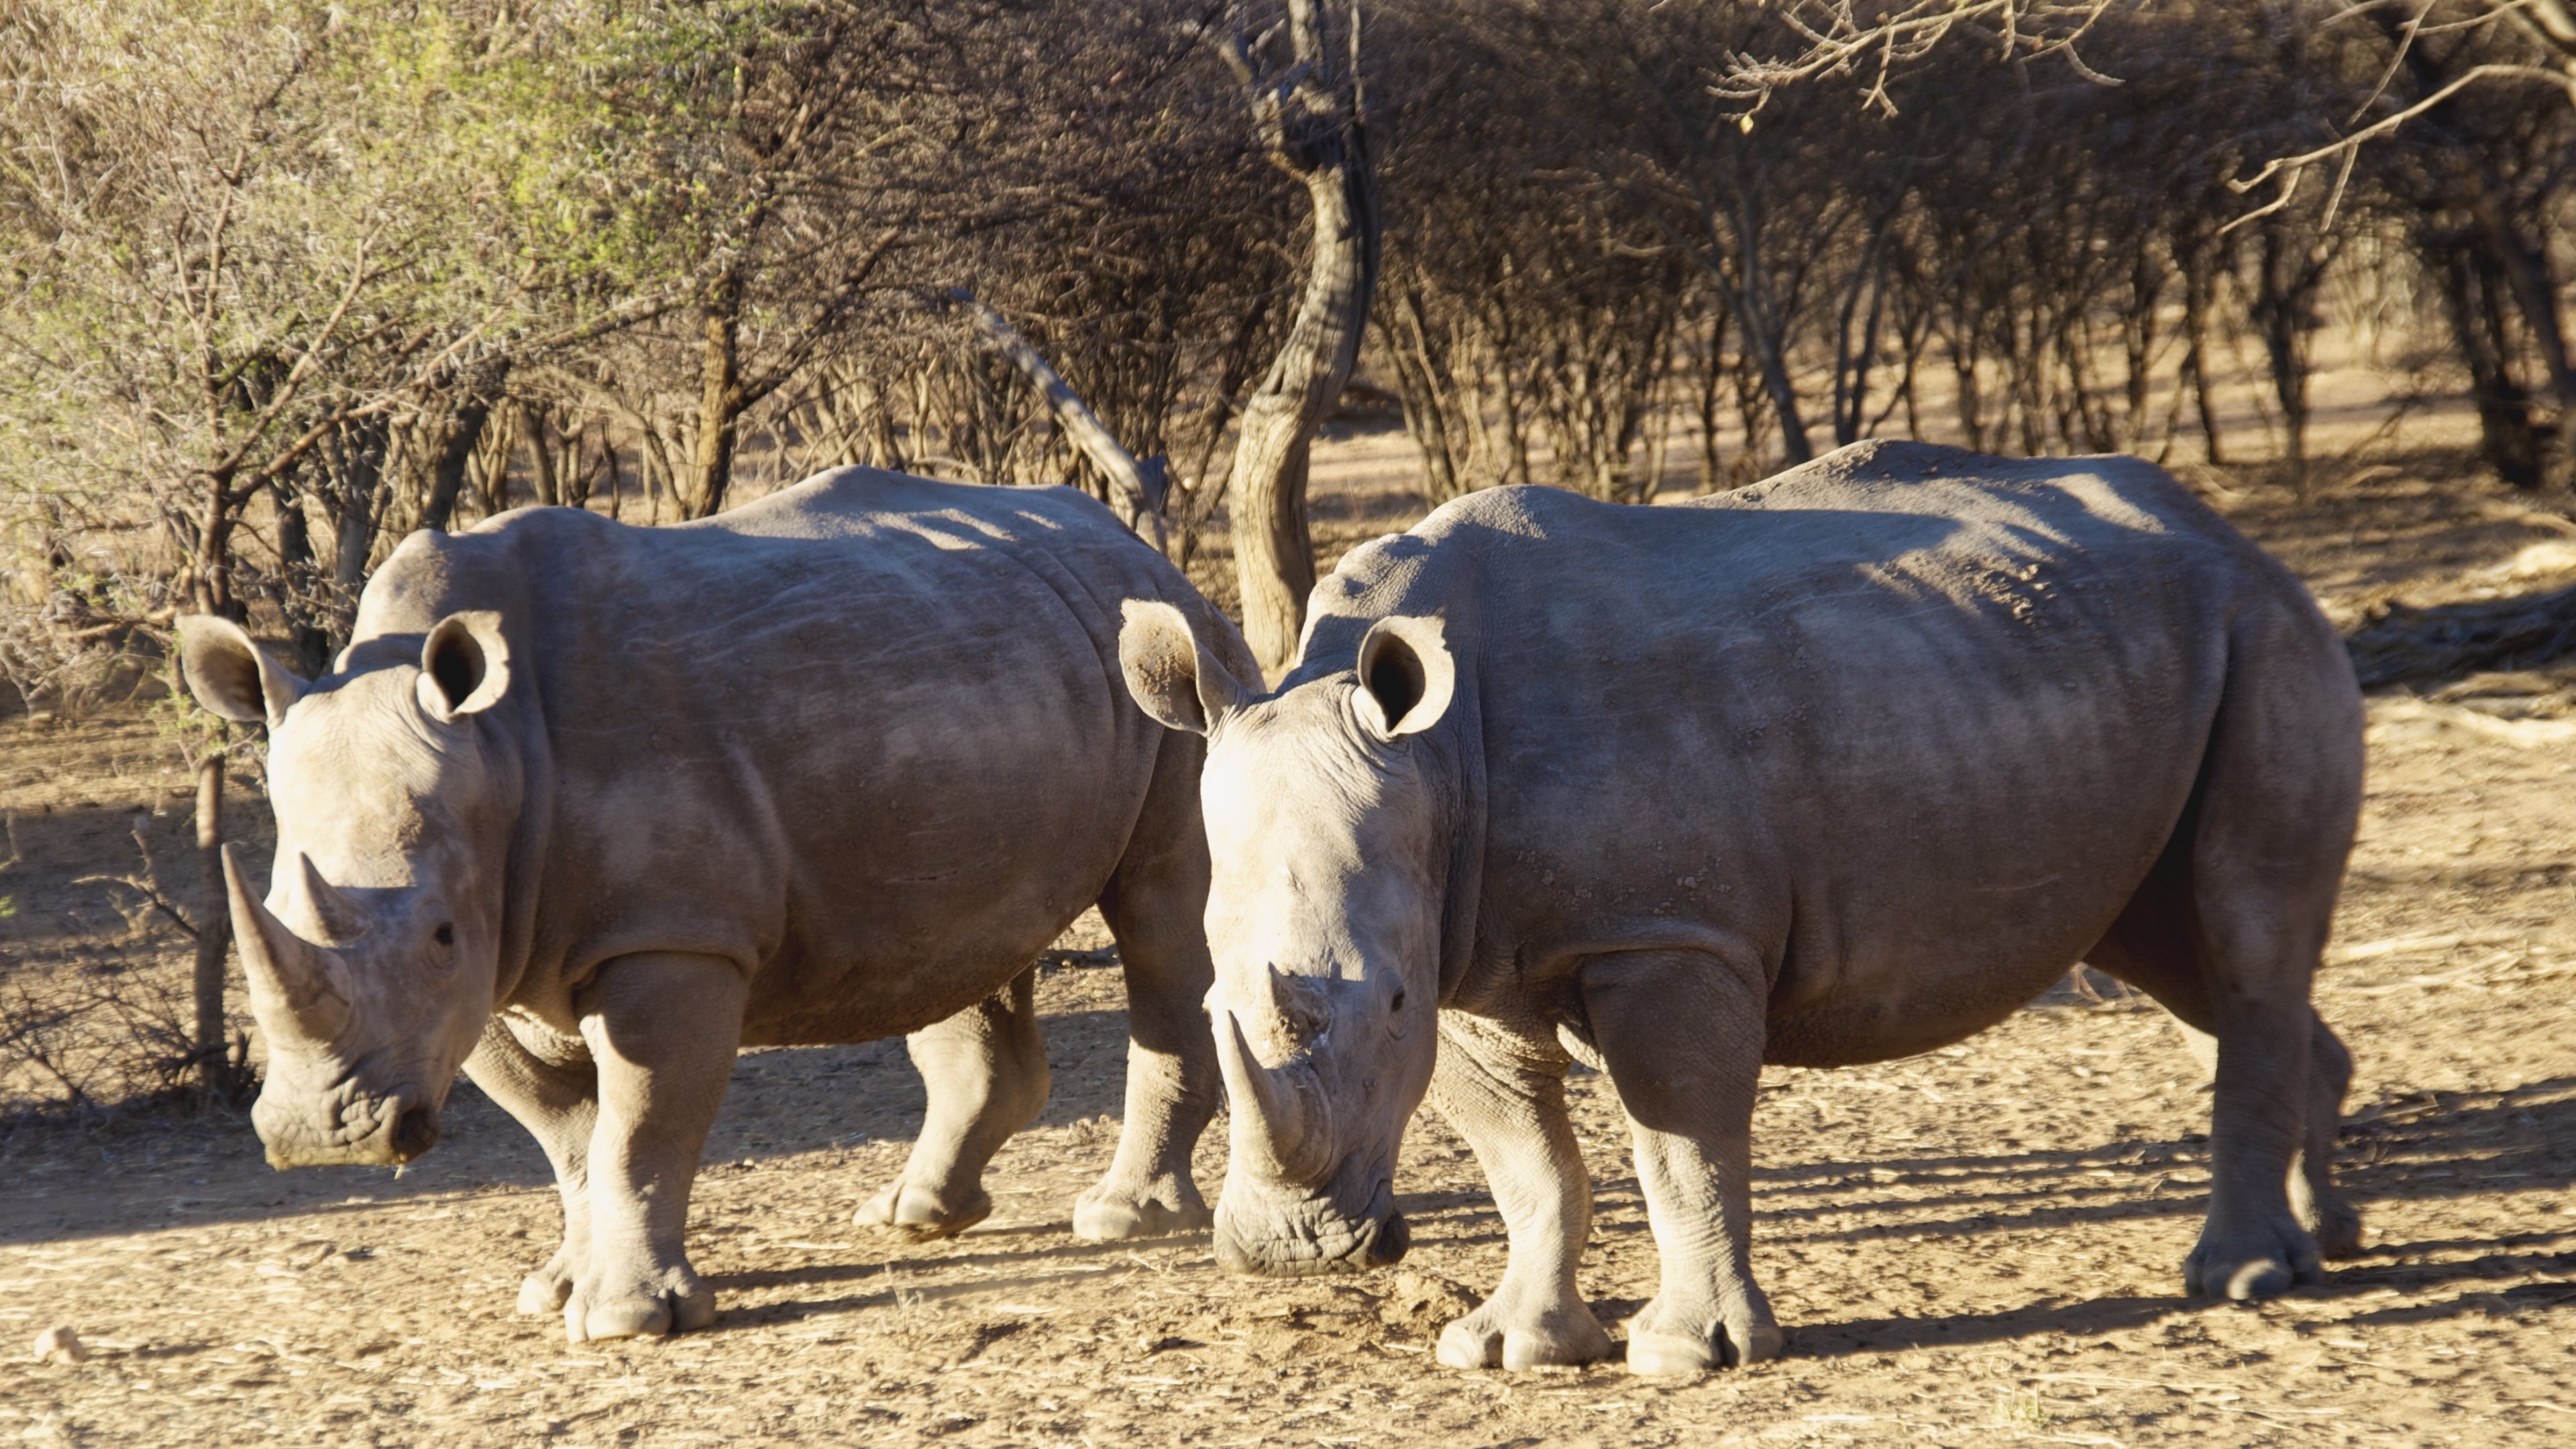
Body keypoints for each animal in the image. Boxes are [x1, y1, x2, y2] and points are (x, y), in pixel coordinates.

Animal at [178, 469, 1246, 1340]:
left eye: (440, 933)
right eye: (273, 910)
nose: (323, 1140)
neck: (499, 755)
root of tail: (1131, 542)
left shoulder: (670, 937)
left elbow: (640, 1126)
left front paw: (627, 1321)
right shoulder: (489, 969)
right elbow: (569, 1135)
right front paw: (556, 1291)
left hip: (1175, 675)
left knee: (1161, 916)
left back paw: (1122, 1218)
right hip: (986, 681)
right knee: (963, 933)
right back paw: (914, 1215)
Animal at [1118, 445, 2359, 1371]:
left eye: (1384, 1007)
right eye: (1220, 997)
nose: (1287, 1254)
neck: (1435, 756)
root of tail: (2233, 534)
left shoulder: (1666, 933)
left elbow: (1681, 1139)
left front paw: (1690, 1356)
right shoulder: (1466, 955)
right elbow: (1525, 1159)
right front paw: (1508, 1348)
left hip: (2262, 627)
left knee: (2243, 937)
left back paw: (2244, 1276)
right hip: (2103, 667)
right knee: (2171, 942)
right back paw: (2326, 1238)